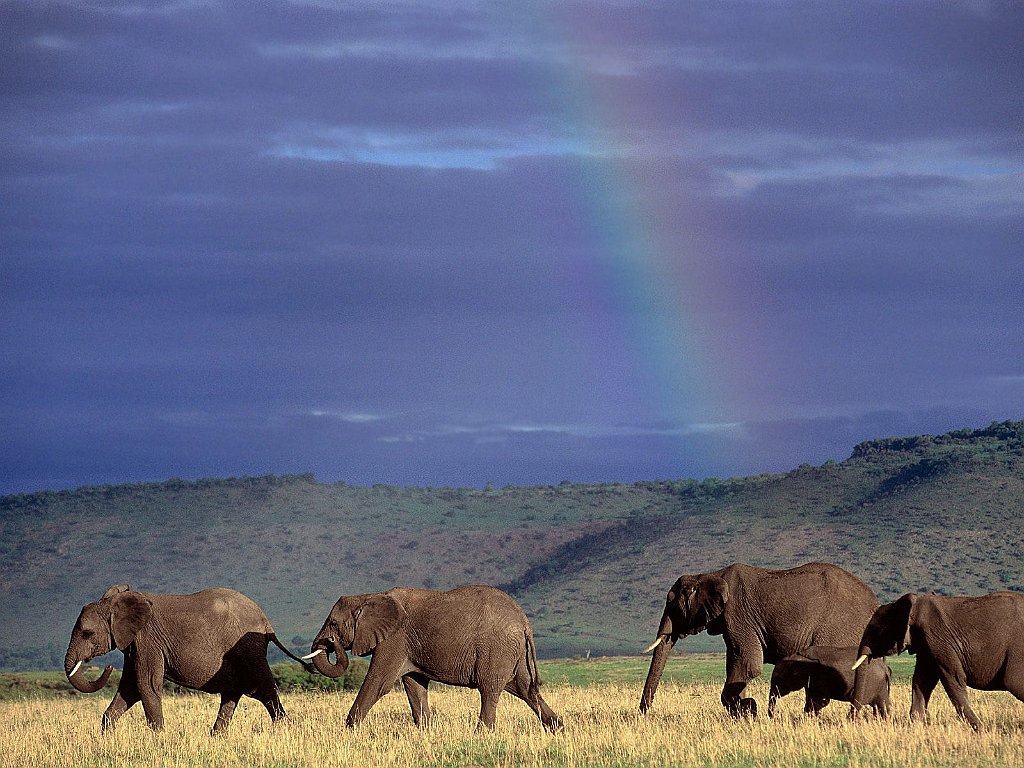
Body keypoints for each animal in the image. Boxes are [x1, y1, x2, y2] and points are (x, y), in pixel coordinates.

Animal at [64, 585, 309, 737]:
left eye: (86, 633)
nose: (107, 666)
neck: (116, 602)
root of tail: (265, 621)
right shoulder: (134, 646)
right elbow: (130, 688)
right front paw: (106, 738)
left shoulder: (147, 640)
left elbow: (146, 685)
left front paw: (159, 738)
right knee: (233, 694)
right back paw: (216, 737)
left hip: (249, 651)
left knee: (264, 689)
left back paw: (284, 729)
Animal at [303, 589, 561, 733]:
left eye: (333, 623)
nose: (330, 641)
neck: (369, 596)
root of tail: (524, 622)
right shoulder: (406, 646)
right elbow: (414, 686)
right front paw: (426, 732)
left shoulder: (394, 639)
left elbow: (378, 683)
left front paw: (347, 731)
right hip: (512, 653)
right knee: (525, 689)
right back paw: (558, 728)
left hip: (497, 649)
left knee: (490, 690)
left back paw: (481, 735)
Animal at [638, 561, 872, 720]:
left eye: (672, 604)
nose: (643, 715)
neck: (709, 575)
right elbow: (736, 664)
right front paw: (745, 711)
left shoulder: (738, 615)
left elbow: (748, 664)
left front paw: (749, 709)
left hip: (837, 629)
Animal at [851, 593, 1024, 729]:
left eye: (874, 628)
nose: (853, 720)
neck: (912, 606)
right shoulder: (926, 645)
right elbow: (922, 680)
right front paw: (917, 727)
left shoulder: (938, 638)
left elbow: (952, 678)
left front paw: (980, 730)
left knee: (1014, 683)